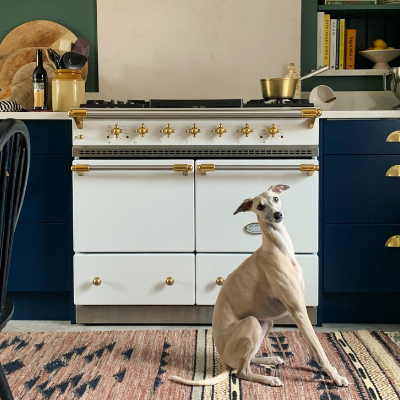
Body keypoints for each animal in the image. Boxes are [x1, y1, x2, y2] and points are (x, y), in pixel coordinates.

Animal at [170, 184, 348, 388]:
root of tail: (224, 360)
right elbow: (319, 348)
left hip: (266, 322)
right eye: (260, 207)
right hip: (252, 323)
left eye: (275, 199)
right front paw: (335, 376)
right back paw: (269, 378)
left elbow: (313, 346)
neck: (280, 248)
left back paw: (269, 359)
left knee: (247, 360)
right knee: (241, 371)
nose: (278, 215)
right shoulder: (298, 309)